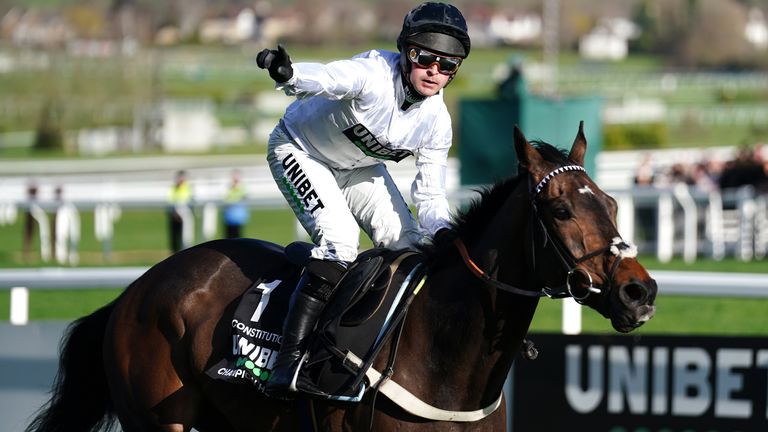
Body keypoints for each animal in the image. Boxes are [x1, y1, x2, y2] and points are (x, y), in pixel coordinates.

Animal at [27, 122, 656, 432]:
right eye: (561, 210)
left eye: (611, 204)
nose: (639, 291)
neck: (445, 353)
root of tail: (131, 293)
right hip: (160, 422)